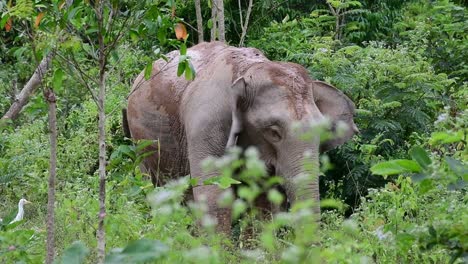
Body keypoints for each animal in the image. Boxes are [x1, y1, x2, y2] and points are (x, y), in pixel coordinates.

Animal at [124, 40, 358, 233]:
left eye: (322, 132)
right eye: (274, 132)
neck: (247, 73)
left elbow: (262, 204)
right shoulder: (206, 123)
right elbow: (214, 197)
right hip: (141, 143)